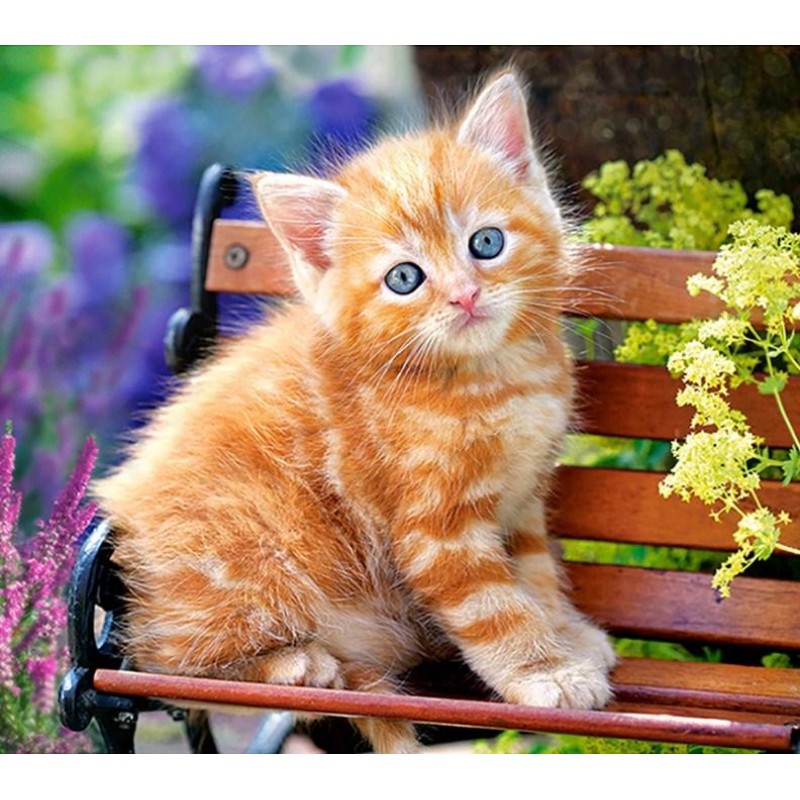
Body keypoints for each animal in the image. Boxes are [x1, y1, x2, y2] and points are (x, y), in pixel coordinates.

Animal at [95, 72, 620, 752]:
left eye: (486, 243)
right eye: (404, 278)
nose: (465, 295)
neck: (492, 379)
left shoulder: (523, 501)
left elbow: (536, 576)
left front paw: (567, 634)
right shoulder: (434, 528)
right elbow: (494, 608)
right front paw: (546, 672)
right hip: (248, 561)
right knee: (170, 667)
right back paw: (294, 663)